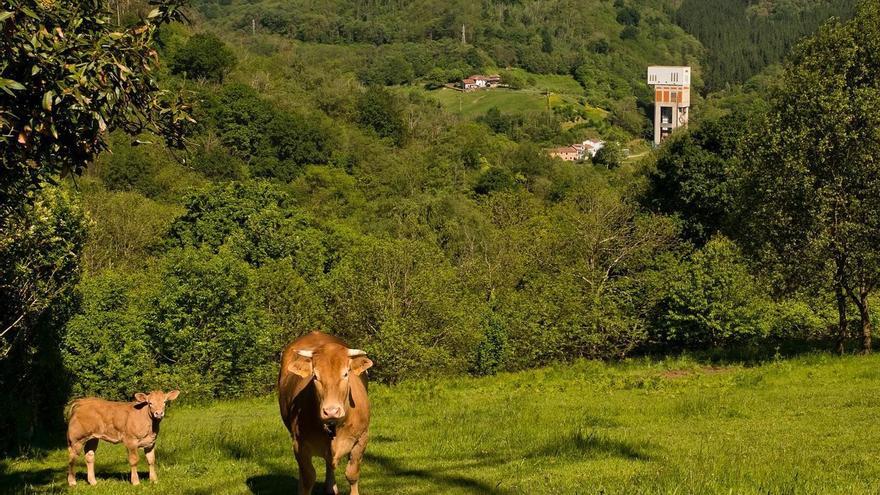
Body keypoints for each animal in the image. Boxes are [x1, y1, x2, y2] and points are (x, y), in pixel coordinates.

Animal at [280, 332, 372, 495]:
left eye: (346, 374)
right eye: (315, 376)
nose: (331, 411)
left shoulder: (362, 437)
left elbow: (352, 473)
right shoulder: (299, 443)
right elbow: (308, 477)